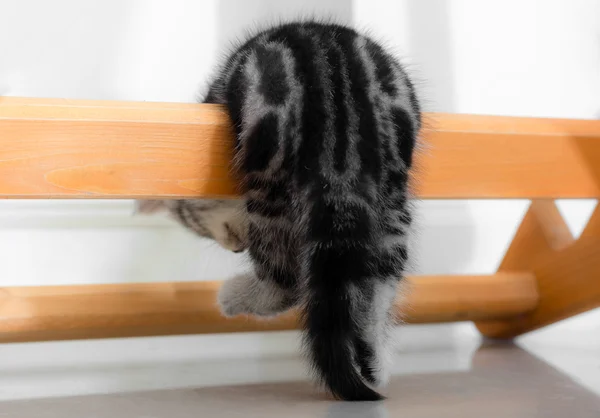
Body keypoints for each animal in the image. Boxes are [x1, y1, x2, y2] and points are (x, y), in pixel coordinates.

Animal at [138, 19, 420, 402]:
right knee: (379, 285)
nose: (235, 248)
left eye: (198, 226)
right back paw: (375, 359)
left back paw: (233, 297)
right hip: (392, 200)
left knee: (284, 278)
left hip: (268, 181)